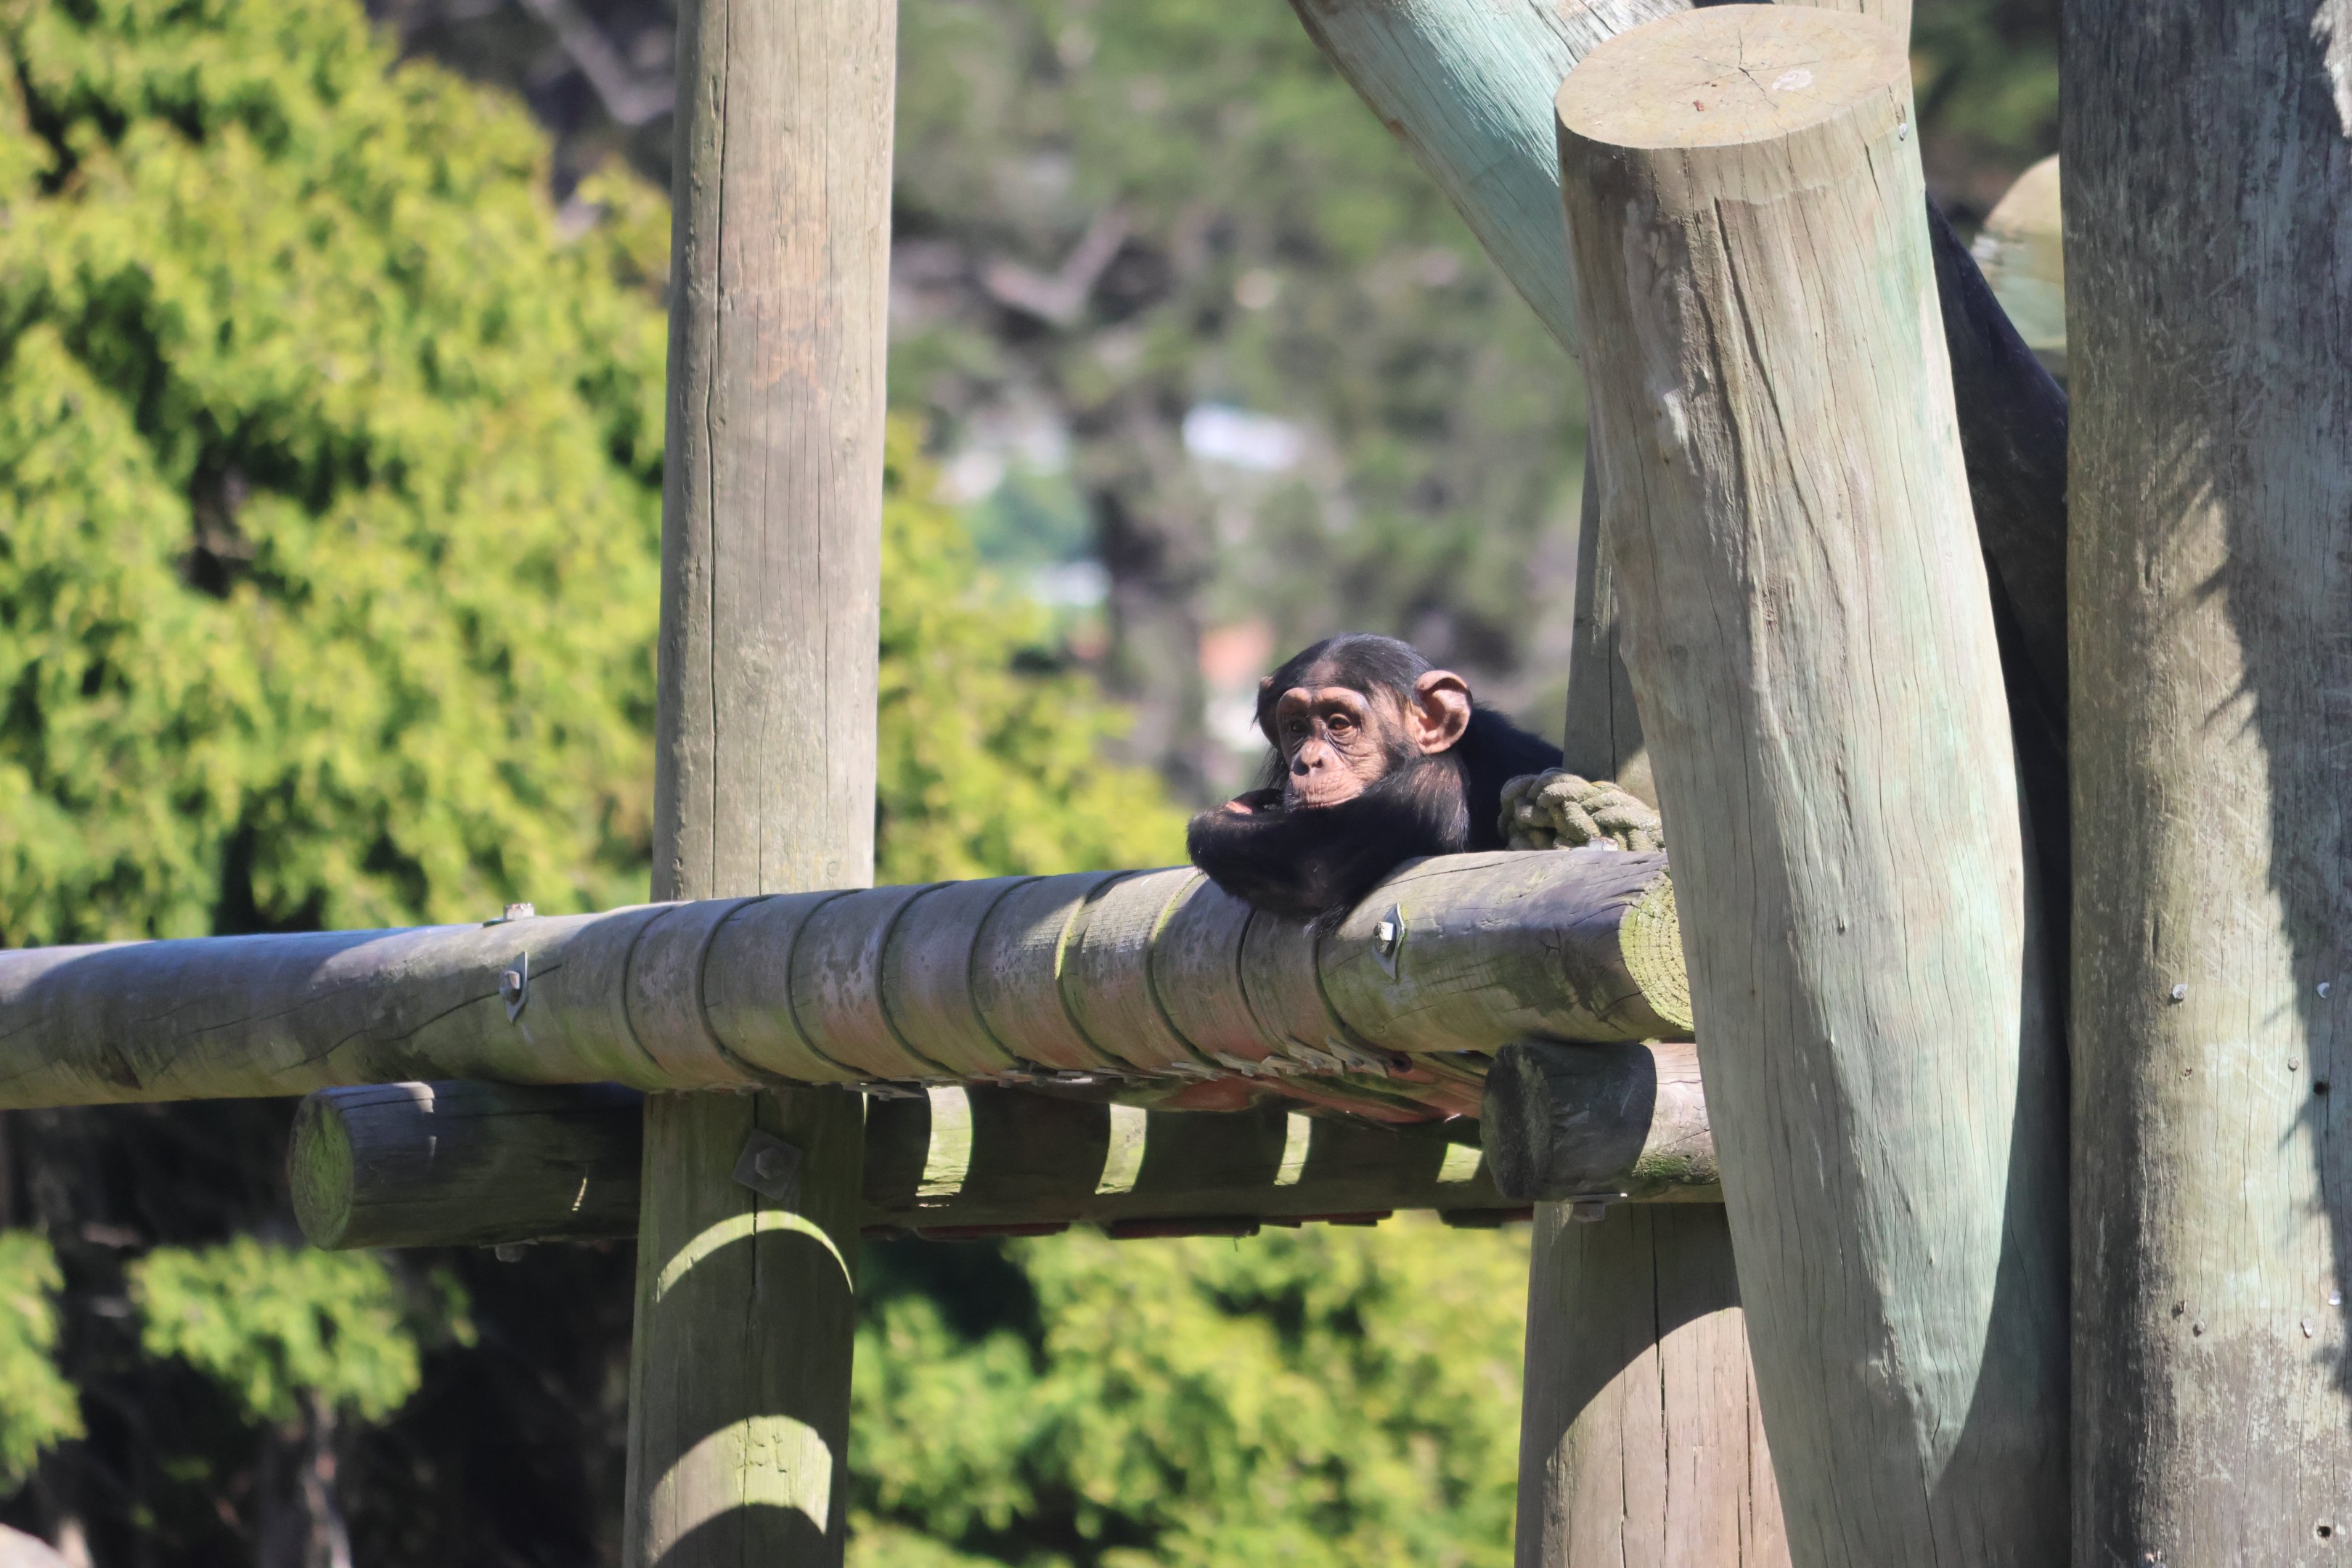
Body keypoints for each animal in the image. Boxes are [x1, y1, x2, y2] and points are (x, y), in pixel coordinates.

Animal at [1185, 633, 1561, 922]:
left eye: (1339, 723)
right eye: (1296, 727)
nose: (1308, 761)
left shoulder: (1428, 788)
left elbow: (1314, 869)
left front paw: (1227, 814)